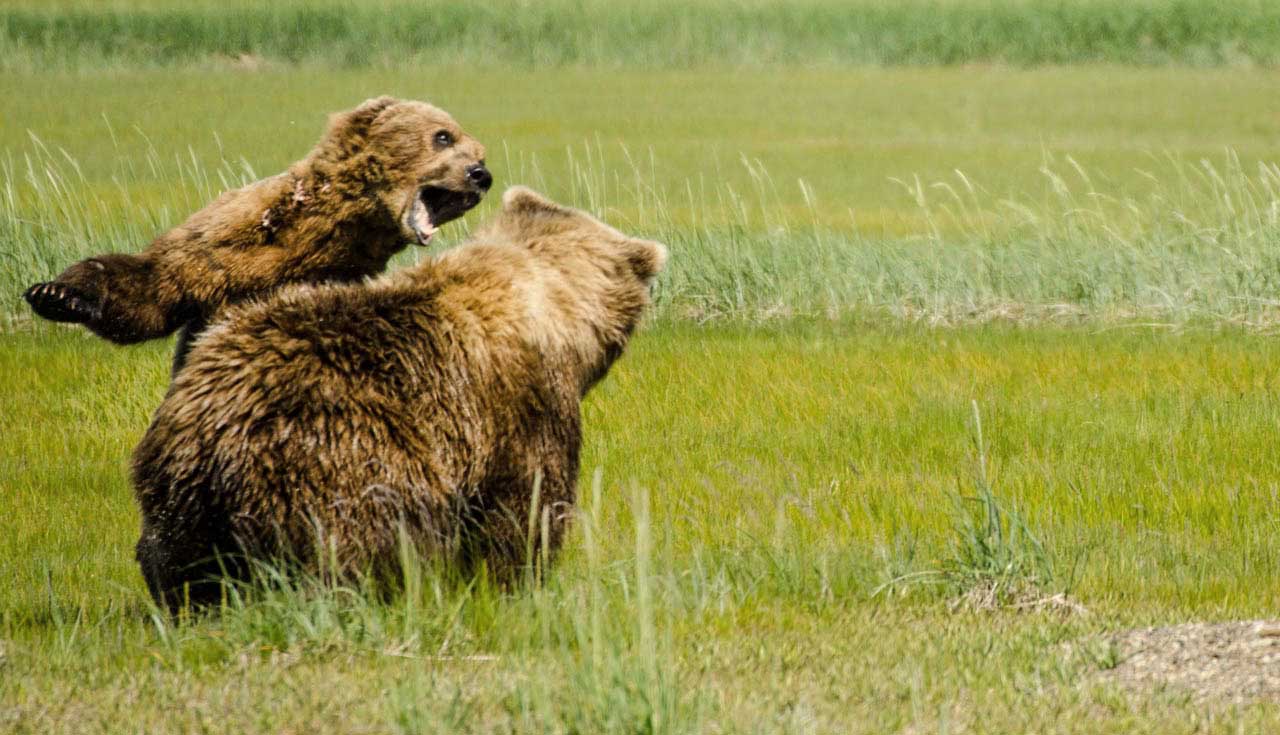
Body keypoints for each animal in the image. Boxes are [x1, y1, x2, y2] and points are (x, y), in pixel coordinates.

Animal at [23, 96, 492, 373]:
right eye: (443, 136)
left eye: (479, 151)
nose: (481, 175)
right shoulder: (224, 239)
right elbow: (153, 288)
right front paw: (55, 293)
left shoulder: (341, 275)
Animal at [130, 186, 667, 612]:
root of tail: (213, 433)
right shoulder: (523, 404)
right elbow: (526, 507)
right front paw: (515, 583)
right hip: (338, 456)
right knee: (368, 544)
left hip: (178, 486)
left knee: (171, 556)